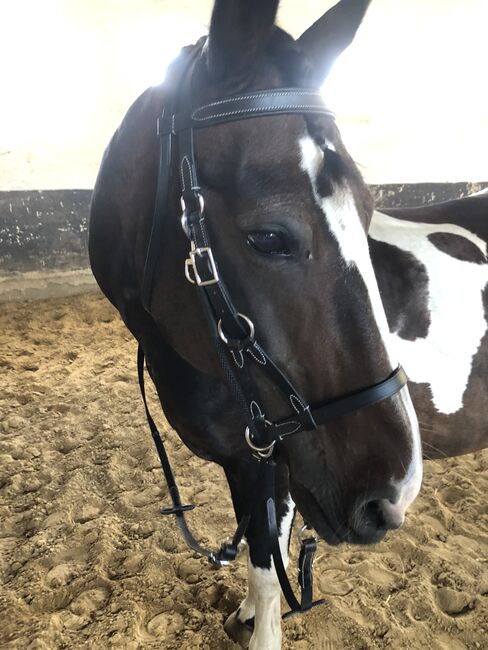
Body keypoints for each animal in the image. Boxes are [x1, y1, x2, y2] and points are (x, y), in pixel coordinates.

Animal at [88, 2, 424, 644]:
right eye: (268, 237)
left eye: (370, 212)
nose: (394, 495)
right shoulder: (253, 457)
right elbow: (259, 549)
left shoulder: (272, 460)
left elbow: (270, 563)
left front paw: (260, 625)